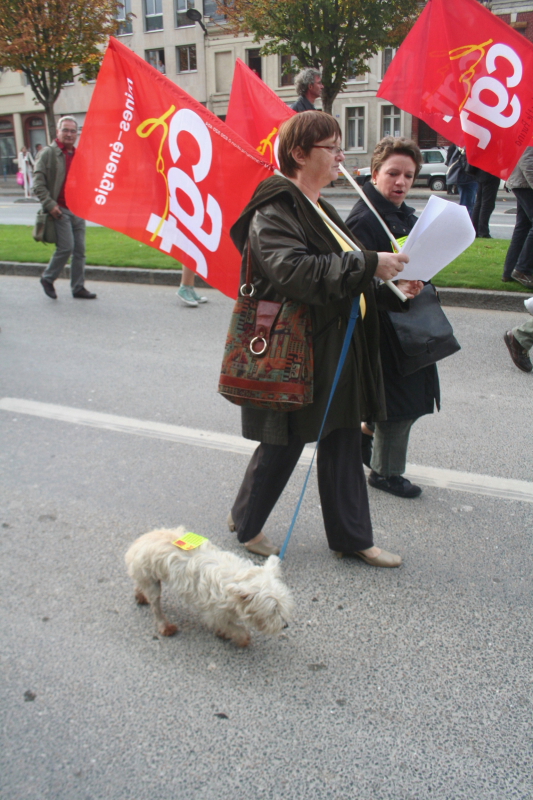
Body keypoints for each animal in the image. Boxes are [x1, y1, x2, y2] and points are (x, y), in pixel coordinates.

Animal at [123, 528, 290, 648]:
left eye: (282, 606)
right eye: (273, 610)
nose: (285, 625)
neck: (236, 580)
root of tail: (138, 542)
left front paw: (225, 633)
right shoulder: (214, 612)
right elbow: (233, 627)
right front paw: (241, 638)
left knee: (140, 586)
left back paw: (140, 596)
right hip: (152, 583)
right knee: (156, 606)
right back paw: (165, 626)